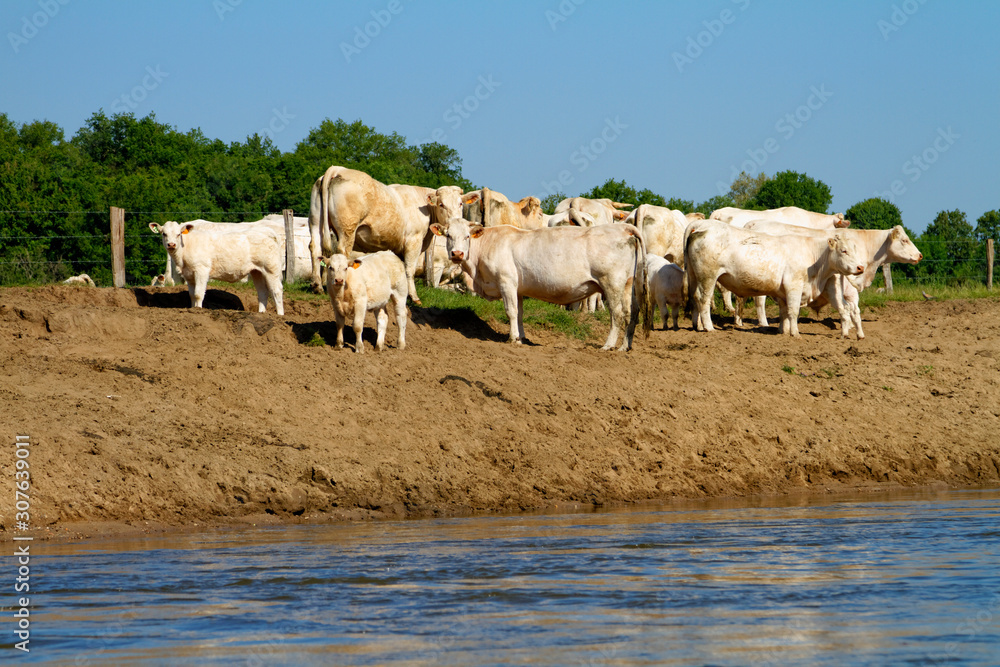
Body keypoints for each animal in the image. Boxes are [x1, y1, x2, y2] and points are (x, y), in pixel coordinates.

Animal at [148, 220, 284, 315]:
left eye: (178, 234)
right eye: (164, 234)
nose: (171, 244)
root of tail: (267, 232)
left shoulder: (201, 270)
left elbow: (198, 293)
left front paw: (198, 310)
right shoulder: (189, 274)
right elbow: (192, 295)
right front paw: (192, 309)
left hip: (271, 269)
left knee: (277, 290)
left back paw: (280, 315)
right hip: (257, 271)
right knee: (262, 292)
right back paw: (261, 313)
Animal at [307, 166, 439, 304]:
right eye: (441, 204)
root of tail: (338, 169)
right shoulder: (414, 240)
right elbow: (409, 269)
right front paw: (414, 297)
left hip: (316, 220)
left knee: (315, 248)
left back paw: (317, 286)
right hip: (347, 229)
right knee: (342, 252)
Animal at [430, 217, 651, 350]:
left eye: (467, 236)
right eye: (448, 235)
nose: (457, 254)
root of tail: (622, 227)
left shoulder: (506, 282)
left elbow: (510, 312)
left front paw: (512, 339)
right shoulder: (518, 288)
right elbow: (519, 313)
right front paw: (521, 338)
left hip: (611, 283)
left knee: (618, 314)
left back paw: (608, 345)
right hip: (629, 285)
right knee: (632, 314)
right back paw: (624, 347)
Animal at [684, 219, 865, 337]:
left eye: (855, 249)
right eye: (844, 250)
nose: (860, 267)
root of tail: (701, 224)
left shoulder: (783, 292)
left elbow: (784, 312)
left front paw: (784, 332)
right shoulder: (794, 286)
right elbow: (793, 311)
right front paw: (795, 334)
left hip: (693, 275)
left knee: (694, 297)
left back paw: (697, 326)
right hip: (708, 277)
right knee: (704, 299)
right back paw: (709, 327)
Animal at [742, 221, 923, 338]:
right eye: (904, 240)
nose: (920, 255)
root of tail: (752, 223)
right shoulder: (848, 284)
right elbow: (851, 308)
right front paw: (850, 328)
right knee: (759, 300)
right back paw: (764, 324)